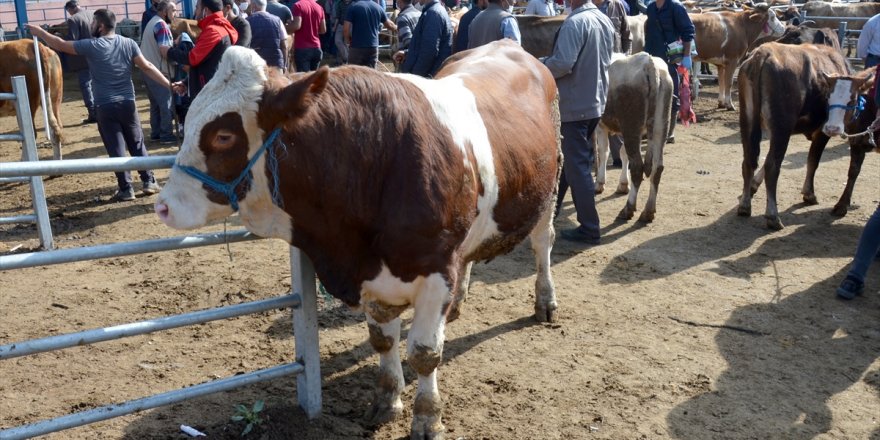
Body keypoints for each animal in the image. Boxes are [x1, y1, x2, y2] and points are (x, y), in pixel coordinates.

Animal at [154, 40, 560, 436]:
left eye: (223, 135)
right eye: (189, 120)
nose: (163, 206)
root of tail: (508, 45)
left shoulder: (438, 269)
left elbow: (424, 353)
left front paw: (427, 417)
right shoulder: (372, 274)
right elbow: (383, 340)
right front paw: (387, 399)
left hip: (549, 191)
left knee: (543, 243)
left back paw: (545, 301)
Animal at [596, 52, 676, 223]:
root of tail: (649, 63)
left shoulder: (601, 124)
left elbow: (604, 152)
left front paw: (599, 183)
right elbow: (623, 153)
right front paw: (623, 184)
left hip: (631, 126)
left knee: (638, 167)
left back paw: (628, 209)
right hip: (660, 126)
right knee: (657, 168)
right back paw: (648, 211)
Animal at [736, 42, 872, 230]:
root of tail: (762, 54)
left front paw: (753, 186)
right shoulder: (822, 131)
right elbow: (813, 161)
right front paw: (809, 194)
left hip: (748, 121)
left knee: (749, 161)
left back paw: (744, 205)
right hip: (781, 128)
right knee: (772, 166)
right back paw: (773, 216)